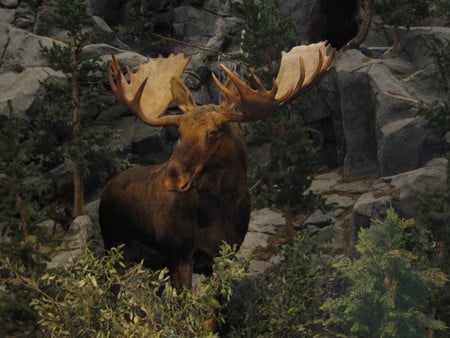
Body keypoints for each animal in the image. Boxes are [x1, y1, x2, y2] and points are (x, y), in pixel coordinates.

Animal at [98, 41, 334, 290]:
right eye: (180, 131)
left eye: (213, 132)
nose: (173, 177)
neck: (219, 208)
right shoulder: (180, 256)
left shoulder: (221, 256)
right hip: (114, 250)